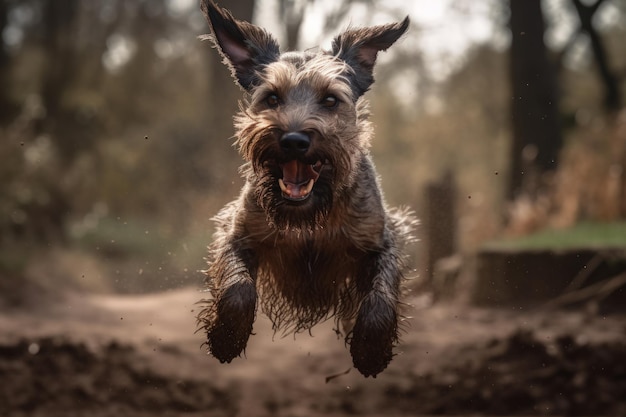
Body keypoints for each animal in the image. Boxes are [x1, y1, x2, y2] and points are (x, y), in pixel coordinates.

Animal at [197, 0, 414, 376]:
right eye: (272, 98)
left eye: (329, 100)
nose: (294, 140)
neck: (310, 217)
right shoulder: (237, 234)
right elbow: (238, 288)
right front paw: (226, 337)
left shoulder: (382, 241)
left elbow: (380, 298)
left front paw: (371, 350)